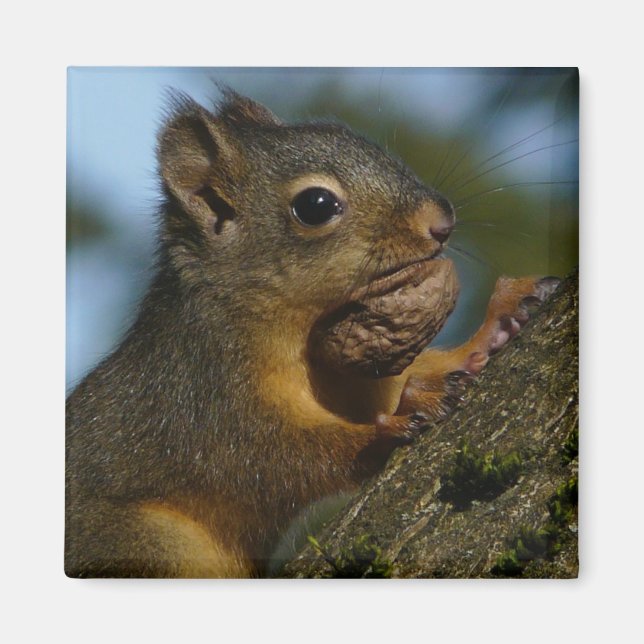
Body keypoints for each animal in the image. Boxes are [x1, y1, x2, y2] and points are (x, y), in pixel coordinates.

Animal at [65, 88, 560, 578]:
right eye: (315, 205)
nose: (442, 220)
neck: (298, 324)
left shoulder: (354, 370)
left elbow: (403, 376)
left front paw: (495, 327)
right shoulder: (203, 396)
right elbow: (273, 457)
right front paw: (391, 426)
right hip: (146, 545)